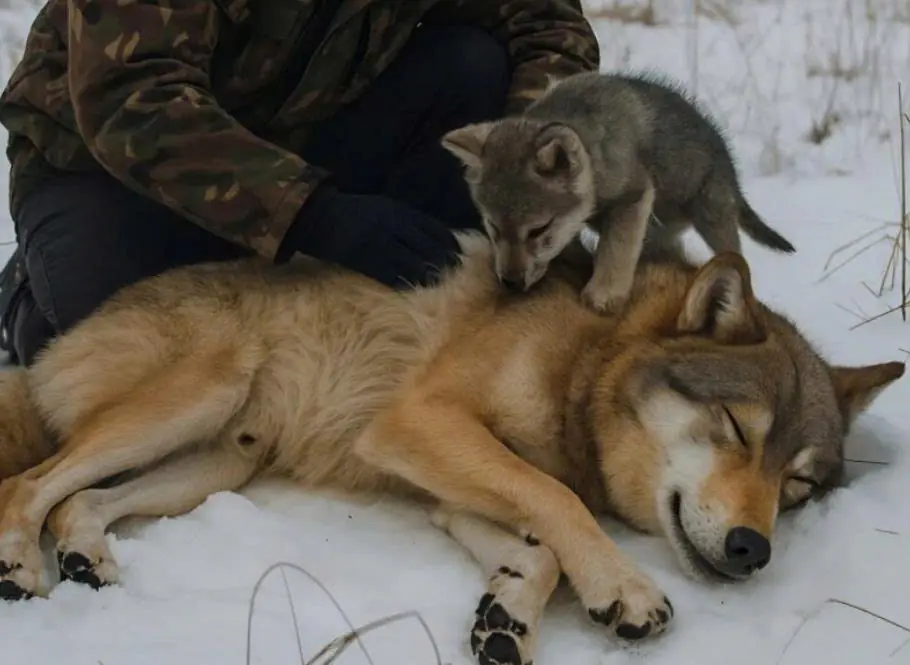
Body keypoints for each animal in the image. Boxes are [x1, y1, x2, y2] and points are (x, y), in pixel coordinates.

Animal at [0, 234, 901, 665]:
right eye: (738, 429)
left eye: (798, 486)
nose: (753, 549)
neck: (585, 360)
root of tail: (52, 343)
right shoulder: (421, 423)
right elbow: (559, 502)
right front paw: (624, 587)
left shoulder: (443, 488)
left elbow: (540, 546)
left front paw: (508, 615)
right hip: (199, 396)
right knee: (28, 486)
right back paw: (20, 567)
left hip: (222, 460)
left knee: (77, 500)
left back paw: (84, 558)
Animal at [441, 70, 796, 313]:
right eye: (493, 226)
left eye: (538, 229)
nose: (511, 283)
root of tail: (731, 168)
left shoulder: (633, 196)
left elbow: (616, 251)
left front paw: (603, 296)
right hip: (662, 235)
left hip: (713, 219)